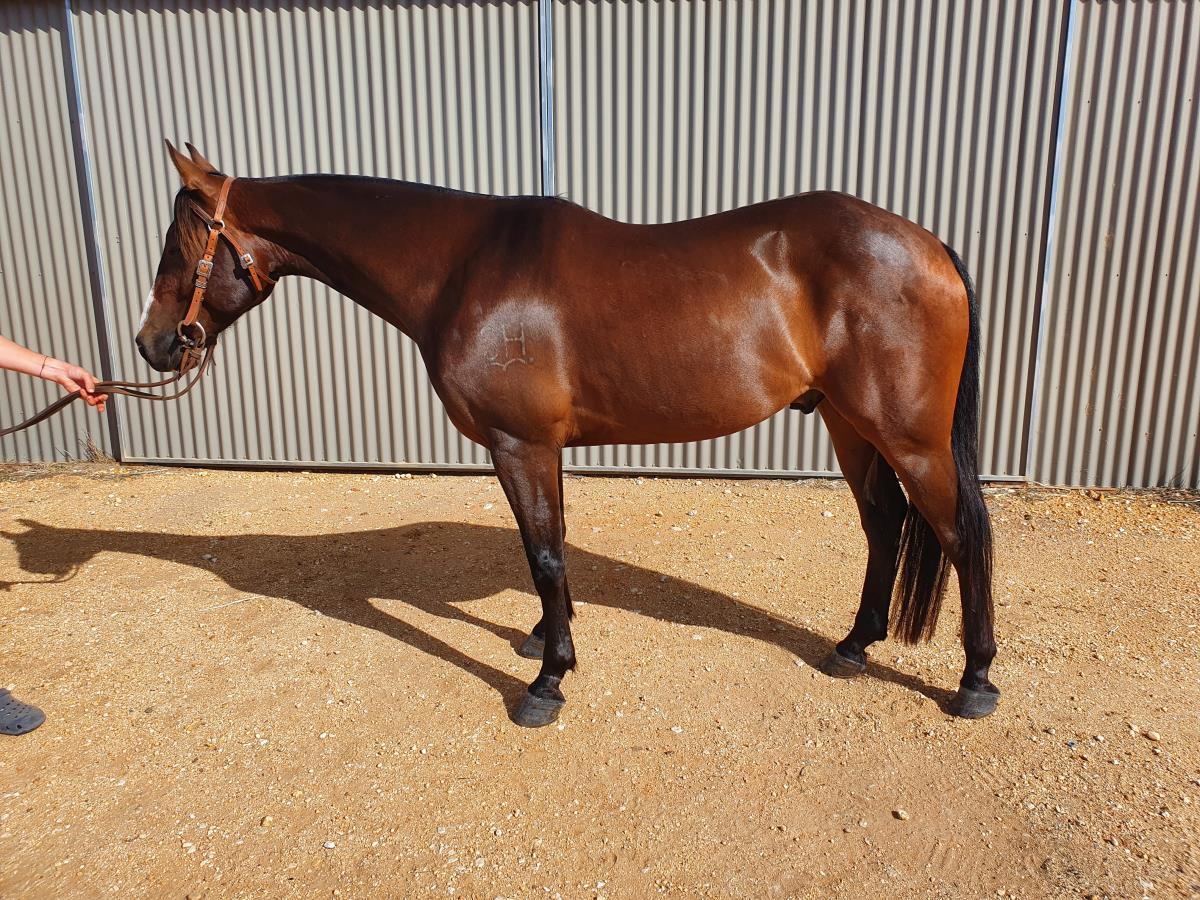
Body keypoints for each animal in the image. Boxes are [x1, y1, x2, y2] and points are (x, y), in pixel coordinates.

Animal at [136, 141, 996, 728]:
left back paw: (975, 682)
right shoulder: (534, 447)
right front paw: (544, 638)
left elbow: (544, 553)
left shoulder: (519, 443)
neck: (462, 267)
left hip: (909, 437)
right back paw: (853, 646)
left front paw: (547, 682)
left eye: (180, 245)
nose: (152, 345)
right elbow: (545, 549)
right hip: (852, 426)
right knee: (884, 525)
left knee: (959, 534)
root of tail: (929, 244)